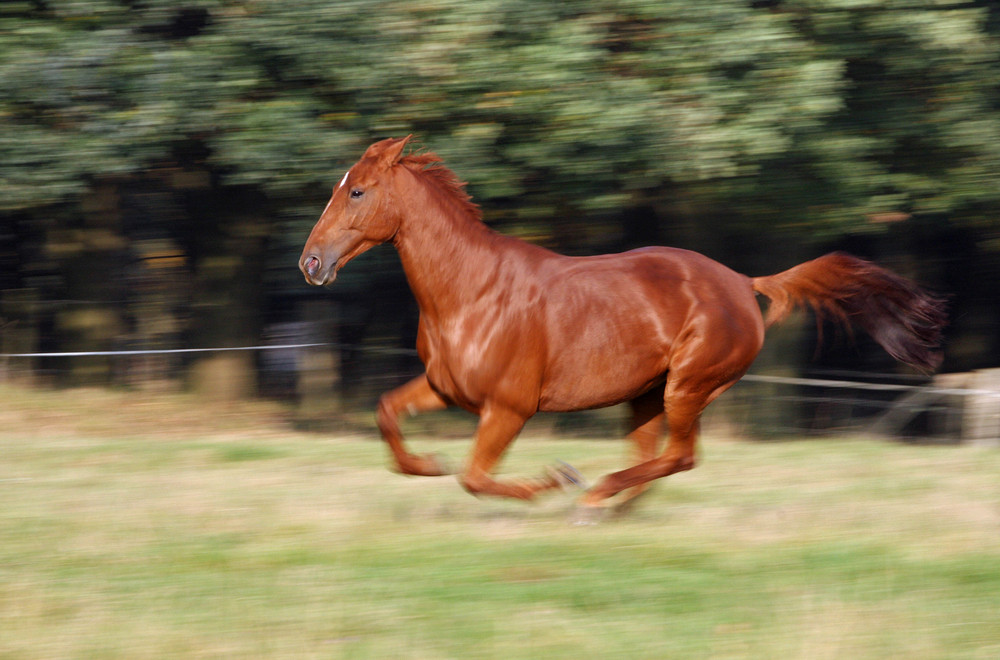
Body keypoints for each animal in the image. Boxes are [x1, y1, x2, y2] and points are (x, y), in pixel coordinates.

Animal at [296, 135, 944, 516]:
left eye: (357, 191)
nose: (310, 263)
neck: (470, 293)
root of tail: (743, 283)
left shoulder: (509, 407)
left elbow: (476, 477)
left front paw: (554, 480)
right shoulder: (444, 389)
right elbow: (388, 415)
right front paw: (425, 464)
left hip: (687, 387)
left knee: (682, 456)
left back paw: (595, 494)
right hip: (646, 397)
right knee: (659, 457)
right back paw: (609, 505)